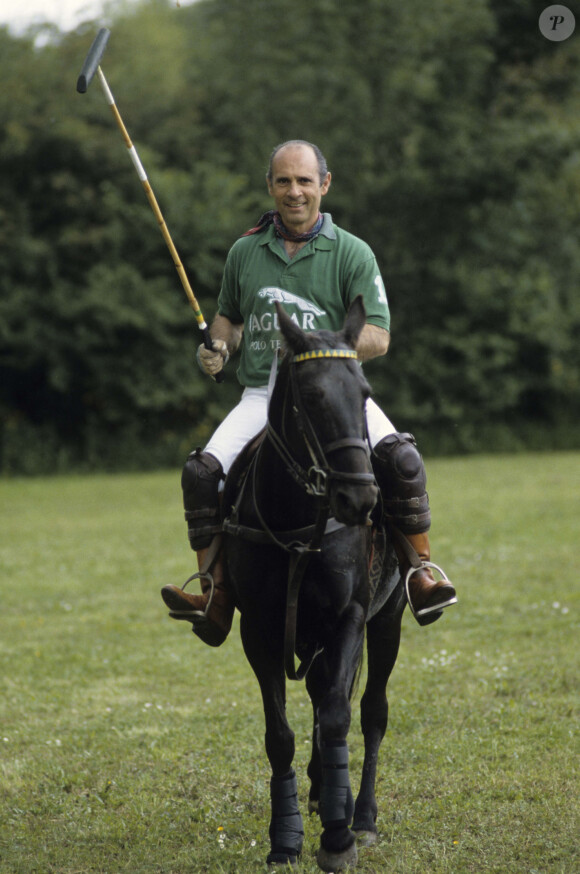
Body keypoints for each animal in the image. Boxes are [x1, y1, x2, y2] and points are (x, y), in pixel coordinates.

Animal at [220, 296, 406, 868]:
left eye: (364, 393)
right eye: (314, 397)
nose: (361, 499)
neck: (298, 519)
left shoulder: (350, 617)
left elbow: (340, 716)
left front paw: (338, 839)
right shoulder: (259, 629)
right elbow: (280, 733)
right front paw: (286, 838)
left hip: (388, 619)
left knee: (370, 711)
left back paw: (359, 814)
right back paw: (325, 792)